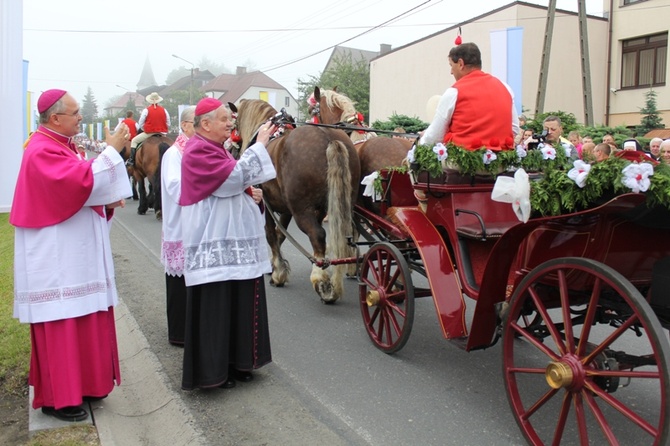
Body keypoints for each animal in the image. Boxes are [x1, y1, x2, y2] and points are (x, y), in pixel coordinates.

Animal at [238, 99, 362, 304]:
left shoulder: (267, 206)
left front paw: (277, 273)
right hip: (341, 205)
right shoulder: (288, 210)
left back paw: (322, 281)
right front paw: (275, 267)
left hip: (302, 211)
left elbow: (270, 235)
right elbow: (280, 236)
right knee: (344, 236)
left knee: (318, 235)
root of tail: (328, 138)